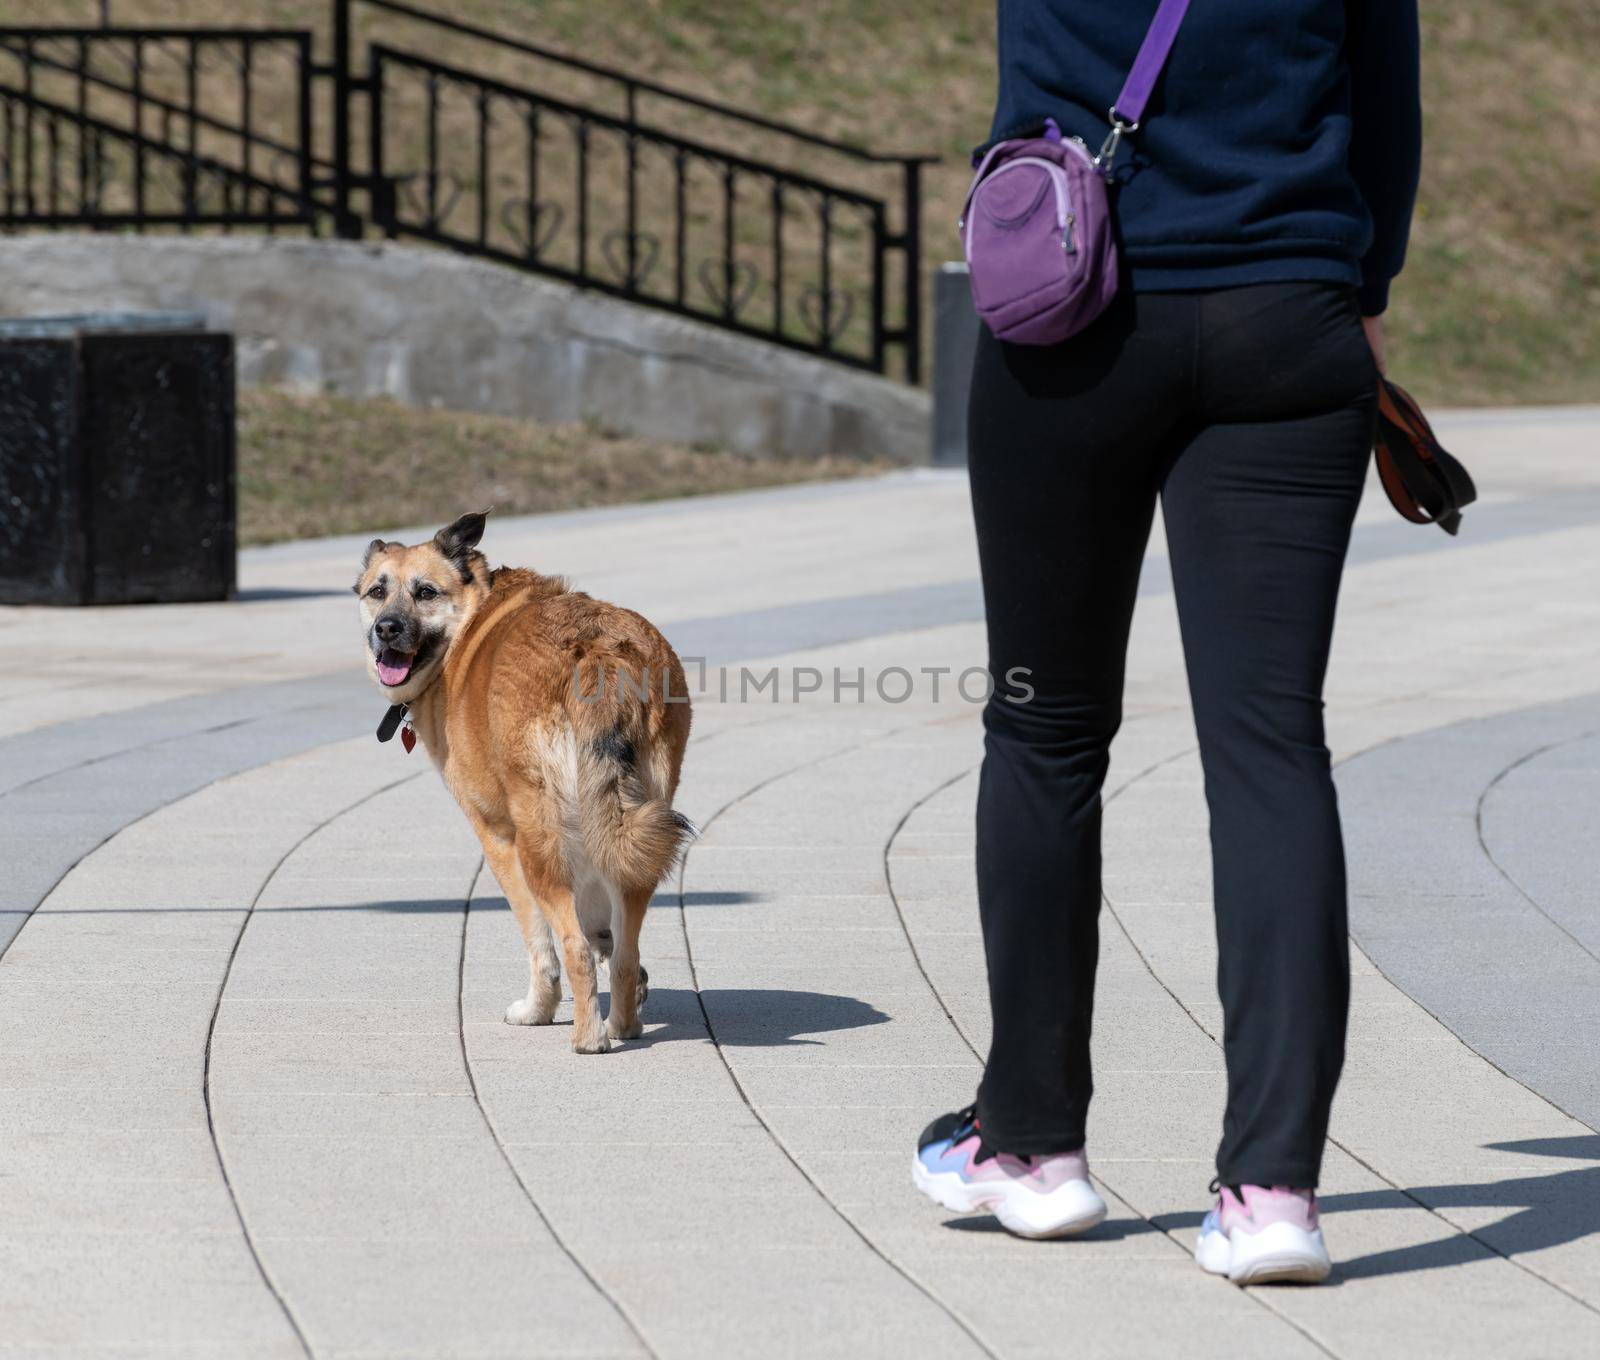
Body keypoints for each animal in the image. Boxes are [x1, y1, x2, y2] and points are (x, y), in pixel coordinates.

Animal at [355, 508, 688, 1049]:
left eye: (425, 592)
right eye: (376, 591)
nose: (386, 629)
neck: (471, 616)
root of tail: (599, 653)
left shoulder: (498, 837)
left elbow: (541, 945)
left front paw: (538, 1010)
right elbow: (601, 928)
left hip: (539, 843)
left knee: (572, 948)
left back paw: (588, 1039)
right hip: (638, 826)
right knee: (624, 949)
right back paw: (623, 1023)